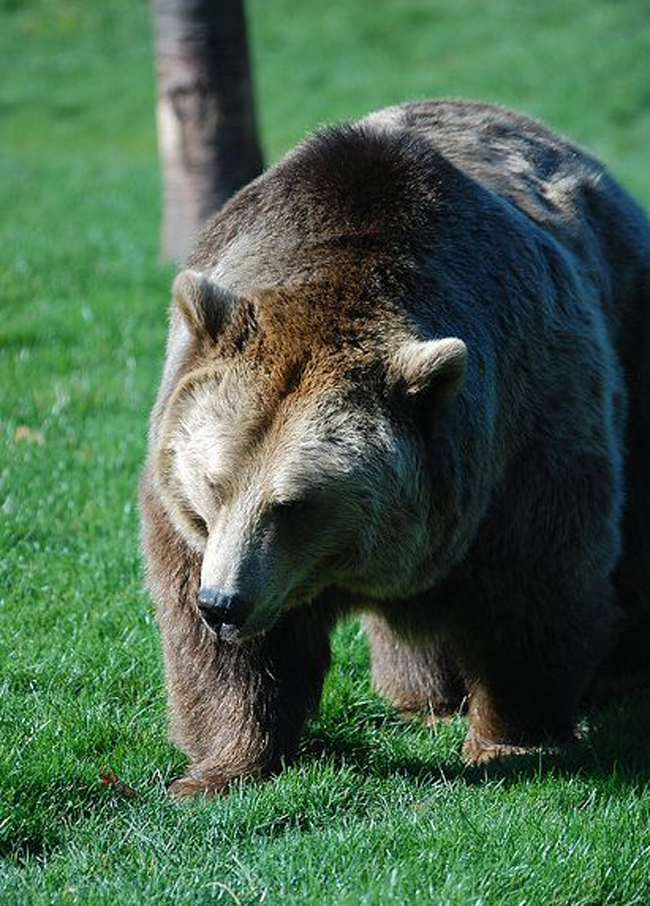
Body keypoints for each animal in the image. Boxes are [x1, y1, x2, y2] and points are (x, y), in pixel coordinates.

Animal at [140, 99, 650, 798]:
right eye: (214, 484)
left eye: (294, 503)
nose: (224, 604)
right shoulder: (185, 480)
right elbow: (218, 641)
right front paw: (219, 767)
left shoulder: (524, 433)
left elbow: (536, 582)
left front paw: (509, 741)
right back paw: (424, 698)